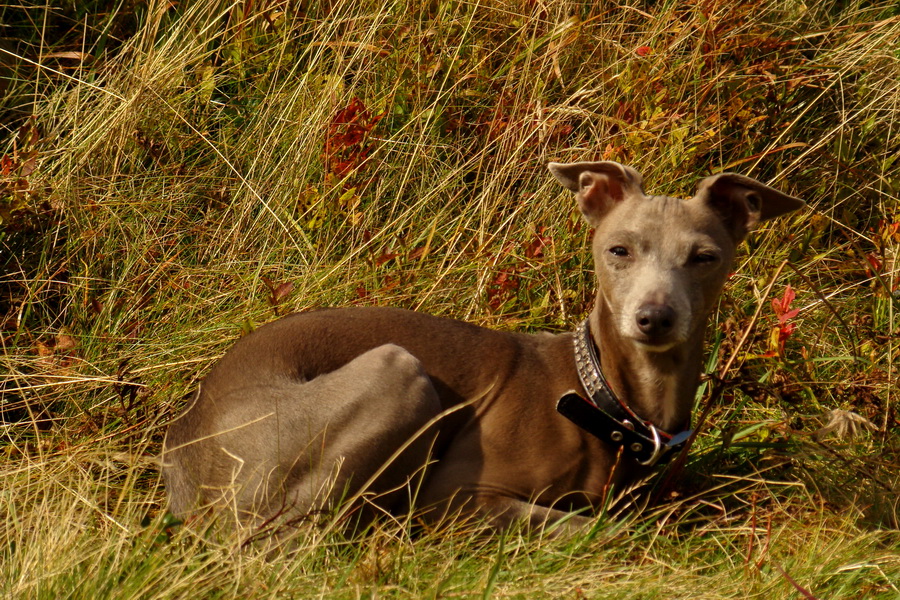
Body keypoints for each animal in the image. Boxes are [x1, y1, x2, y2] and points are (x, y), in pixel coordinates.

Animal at [160, 161, 800, 536]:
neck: (601, 393)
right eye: (619, 250)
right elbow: (602, 529)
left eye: (704, 257)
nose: (653, 318)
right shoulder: (457, 495)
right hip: (396, 373)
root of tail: (181, 449)